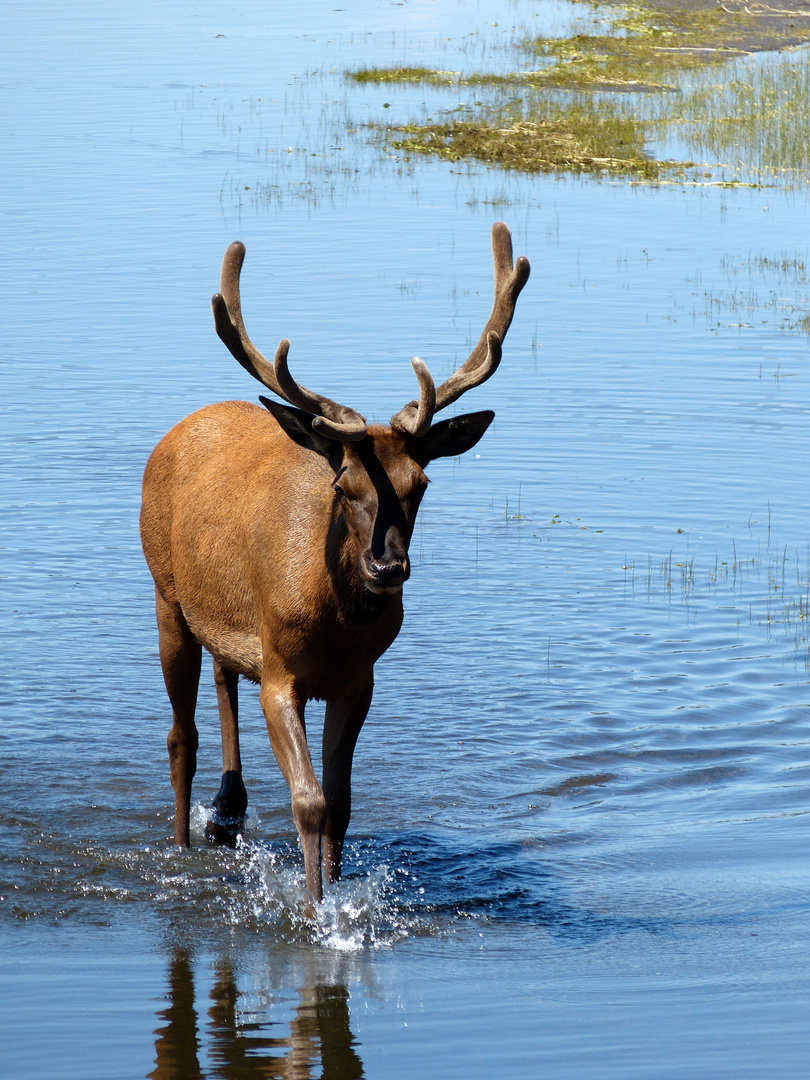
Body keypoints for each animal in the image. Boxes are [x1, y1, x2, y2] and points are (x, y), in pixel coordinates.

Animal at [141, 221, 533, 902]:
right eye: (344, 485)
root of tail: (183, 426)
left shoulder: (359, 680)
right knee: (179, 738)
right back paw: (184, 844)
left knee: (223, 675)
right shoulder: (281, 675)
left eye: (420, 484)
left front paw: (341, 891)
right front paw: (314, 908)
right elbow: (309, 802)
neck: (332, 621)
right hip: (166, 595)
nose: (388, 568)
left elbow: (343, 804)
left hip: (225, 620)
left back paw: (227, 809)